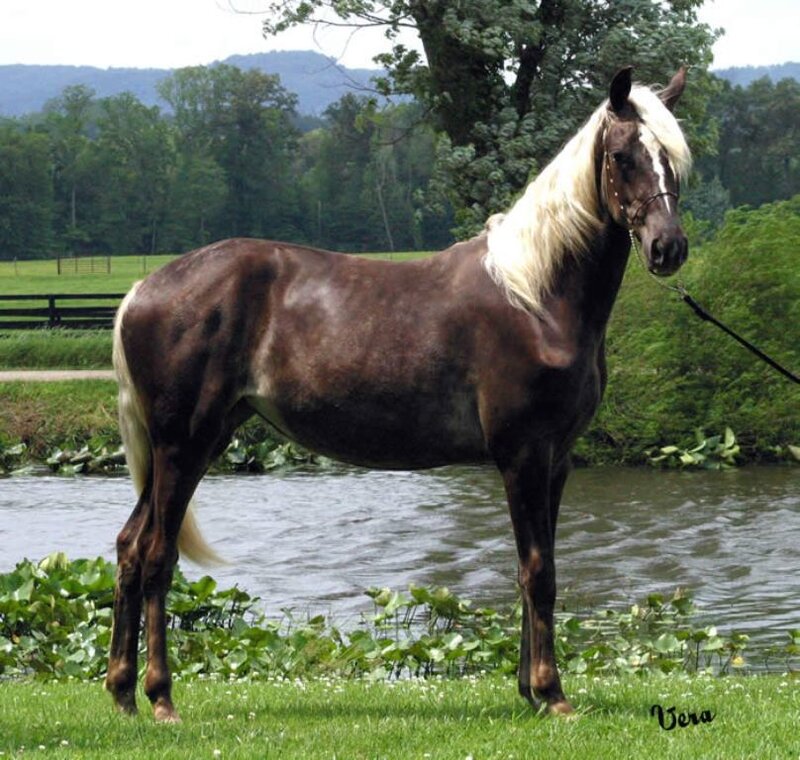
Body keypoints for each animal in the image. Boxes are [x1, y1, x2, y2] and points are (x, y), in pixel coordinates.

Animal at [106, 66, 692, 722]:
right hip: (183, 446)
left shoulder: (557, 461)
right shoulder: (523, 455)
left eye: (673, 158)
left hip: (190, 446)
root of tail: (144, 288)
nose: (667, 248)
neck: (535, 297)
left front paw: (528, 690)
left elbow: (533, 569)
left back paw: (123, 691)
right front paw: (551, 692)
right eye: (622, 156)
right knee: (158, 556)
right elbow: (539, 570)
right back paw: (160, 697)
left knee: (130, 549)